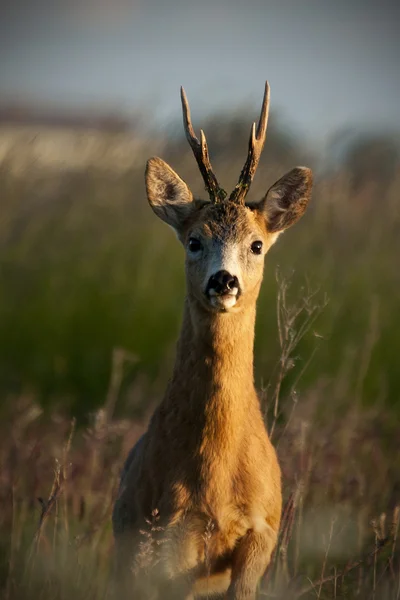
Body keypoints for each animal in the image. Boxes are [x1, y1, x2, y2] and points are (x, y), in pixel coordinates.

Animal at [111, 81, 312, 600]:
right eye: (193, 240)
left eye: (257, 244)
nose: (224, 281)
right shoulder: (172, 533)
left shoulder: (262, 532)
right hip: (128, 542)